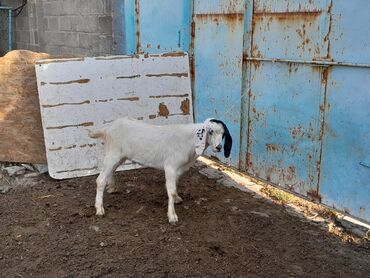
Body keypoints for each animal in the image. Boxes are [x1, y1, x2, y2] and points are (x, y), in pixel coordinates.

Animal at [89, 117, 231, 224]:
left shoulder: (177, 169)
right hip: (113, 153)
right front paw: (172, 216)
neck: (189, 142)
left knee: (110, 171)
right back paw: (99, 209)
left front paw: (177, 199)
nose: (219, 147)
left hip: (118, 156)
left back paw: (112, 188)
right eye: (210, 131)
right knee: (100, 179)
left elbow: (174, 187)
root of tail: (109, 127)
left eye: (223, 134)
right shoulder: (170, 166)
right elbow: (171, 191)